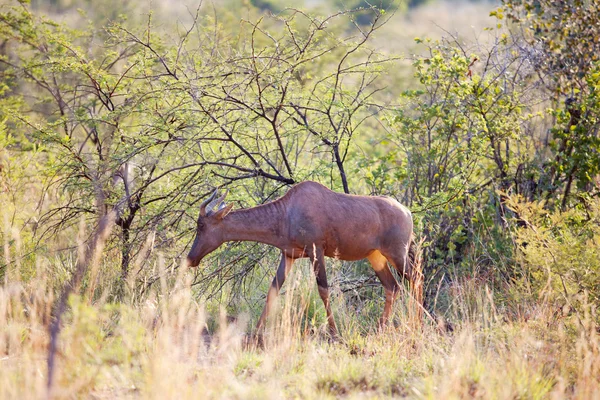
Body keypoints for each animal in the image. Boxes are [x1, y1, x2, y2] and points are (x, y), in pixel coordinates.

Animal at [186, 182, 422, 338]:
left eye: (201, 225)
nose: (190, 259)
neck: (289, 210)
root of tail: (407, 212)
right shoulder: (289, 255)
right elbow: (273, 290)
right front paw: (256, 334)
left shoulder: (316, 250)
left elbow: (323, 289)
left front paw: (334, 333)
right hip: (376, 257)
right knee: (393, 287)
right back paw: (381, 329)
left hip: (397, 254)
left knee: (415, 279)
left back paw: (418, 324)